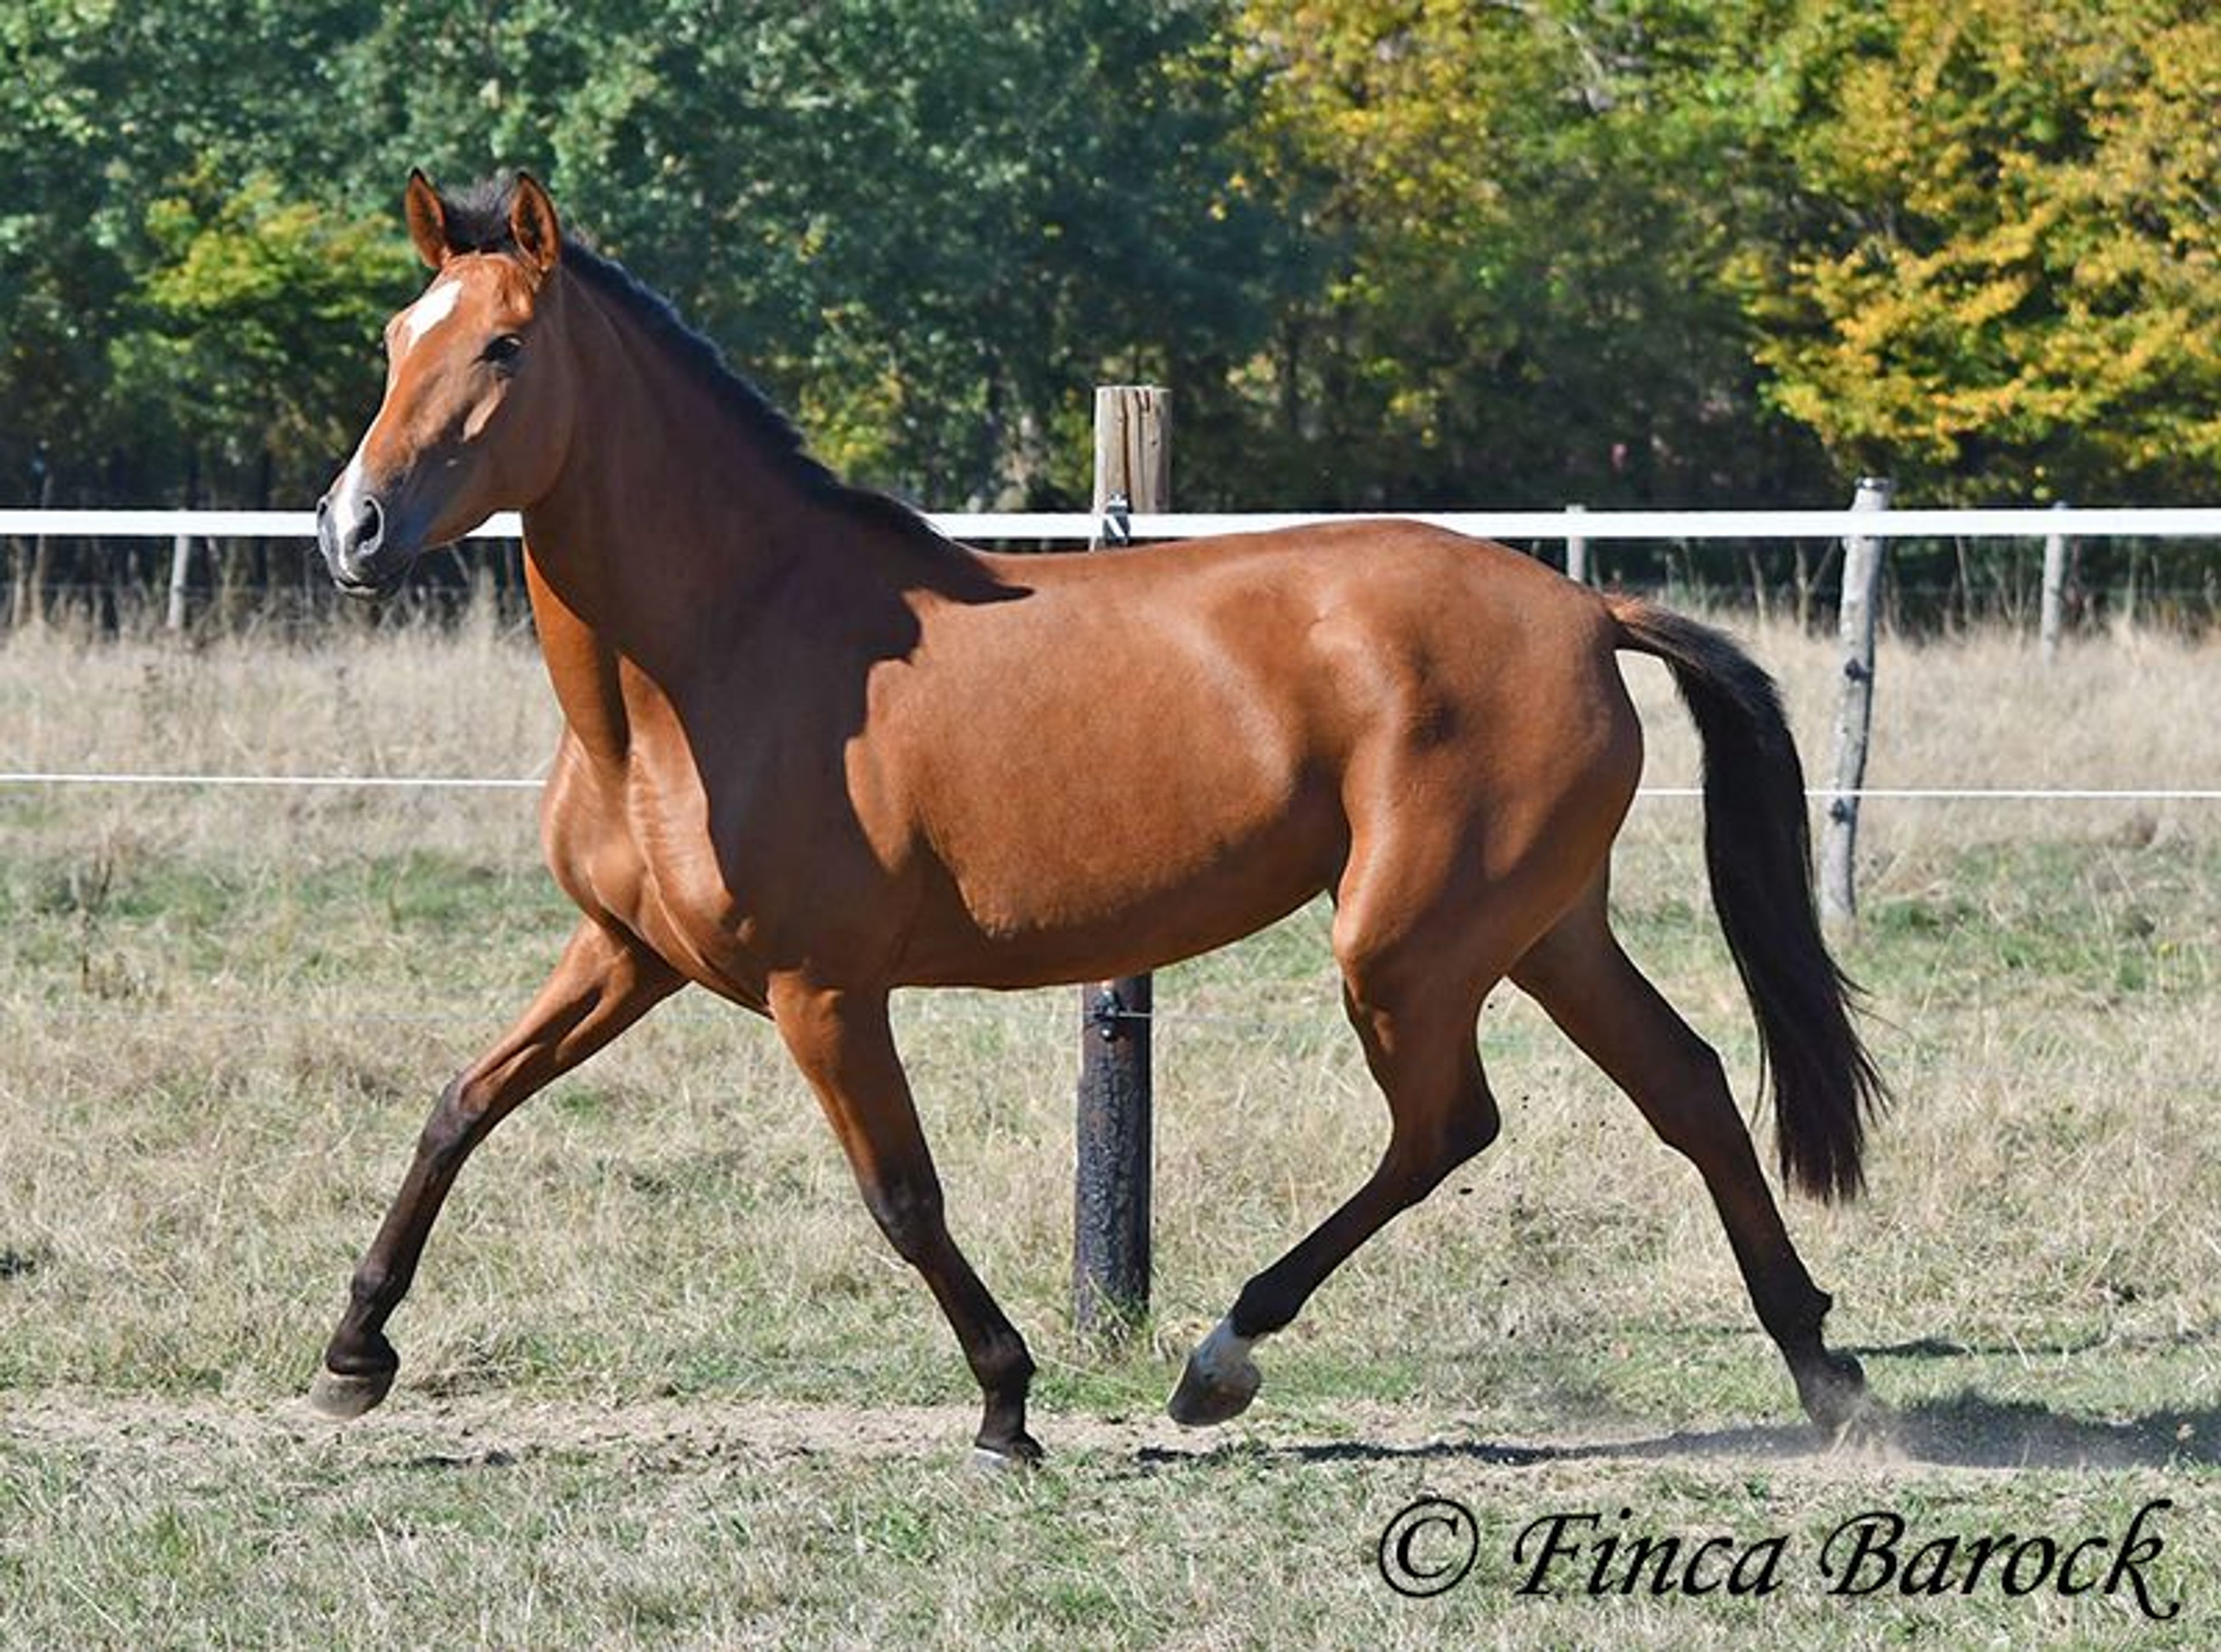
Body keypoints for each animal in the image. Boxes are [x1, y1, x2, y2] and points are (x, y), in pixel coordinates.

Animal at [309, 171, 1885, 1463]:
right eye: (395, 339)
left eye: (504, 348)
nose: (351, 531)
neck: (709, 666)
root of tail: (1585, 608)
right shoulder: (625, 954)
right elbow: (462, 1106)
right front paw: (353, 1354)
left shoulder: (825, 991)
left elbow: (903, 1197)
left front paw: (1006, 1406)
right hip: (1543, 929)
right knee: (1685, 1086)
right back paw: (1823, 1368)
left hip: (1409, 946)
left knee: (1448, 1126)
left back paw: (1220, 1360)